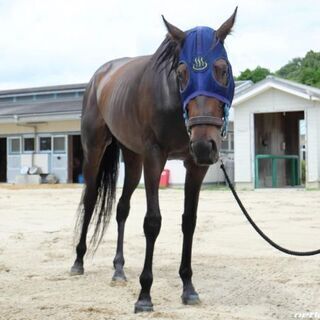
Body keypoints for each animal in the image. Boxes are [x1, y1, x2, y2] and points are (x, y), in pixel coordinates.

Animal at [71, 8, 239, 314]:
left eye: (223, 70)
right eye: (181, 73)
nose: (204, 145)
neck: (173, 101)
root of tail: (101, 75)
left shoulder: (194, 166)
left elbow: (189, 221)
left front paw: (188, 288)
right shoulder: (154, 158)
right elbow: (152, 222)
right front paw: (145, 295)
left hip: (132, 159)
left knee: (122, 208)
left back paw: (119, 270)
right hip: (95, 151)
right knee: (89, 201)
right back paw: (78, 262)